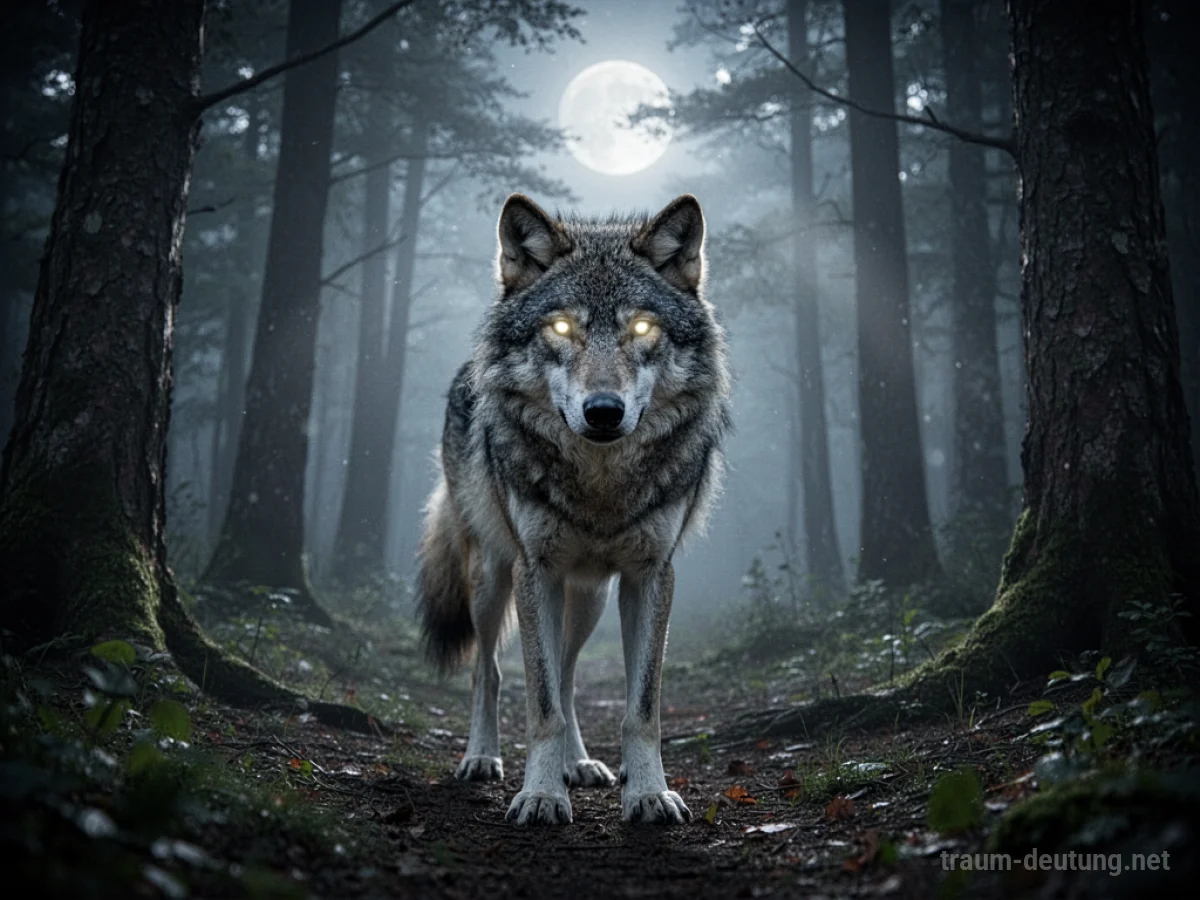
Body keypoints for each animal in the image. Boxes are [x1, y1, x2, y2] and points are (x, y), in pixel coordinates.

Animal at [415, 193, 731, 826]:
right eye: (562, 327)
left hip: (588, 596)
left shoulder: (650, 576)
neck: (600, 485)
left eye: (642, 327)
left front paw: (648, 793)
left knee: (566, 671)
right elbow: (540, 705)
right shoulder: (535, 570)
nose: (603, 411)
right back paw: (482, 758)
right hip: (492, 577)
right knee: (489, 669)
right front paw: (540, 795)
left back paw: (578, 764)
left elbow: (640, 708)